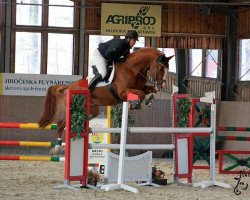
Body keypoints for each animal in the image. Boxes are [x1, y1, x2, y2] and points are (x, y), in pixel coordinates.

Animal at [38, 47, 174, 154]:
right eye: (161, 68)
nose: (162, 85)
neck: (133, 69)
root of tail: (68, 87)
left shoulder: (141, 87)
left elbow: (149, 90)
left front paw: (148, 101)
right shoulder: (122, 92)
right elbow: (140, 94)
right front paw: (136, 105)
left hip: (90, 111)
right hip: (75, 108)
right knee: (61, 124)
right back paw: (57, 147)